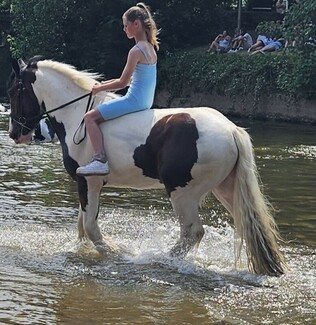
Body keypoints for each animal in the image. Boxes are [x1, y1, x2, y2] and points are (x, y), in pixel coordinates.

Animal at [7, 57, 286, 274]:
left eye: (13, 91)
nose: (14, 134)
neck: (77, 116)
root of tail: (231, 129)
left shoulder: (90, 183)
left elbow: (90, 227)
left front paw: (116, 251)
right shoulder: (84, 183)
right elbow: (81, 226)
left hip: (182, 193)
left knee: (192, 232)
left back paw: (157, 259)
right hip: (225, 189)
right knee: (248, 227)